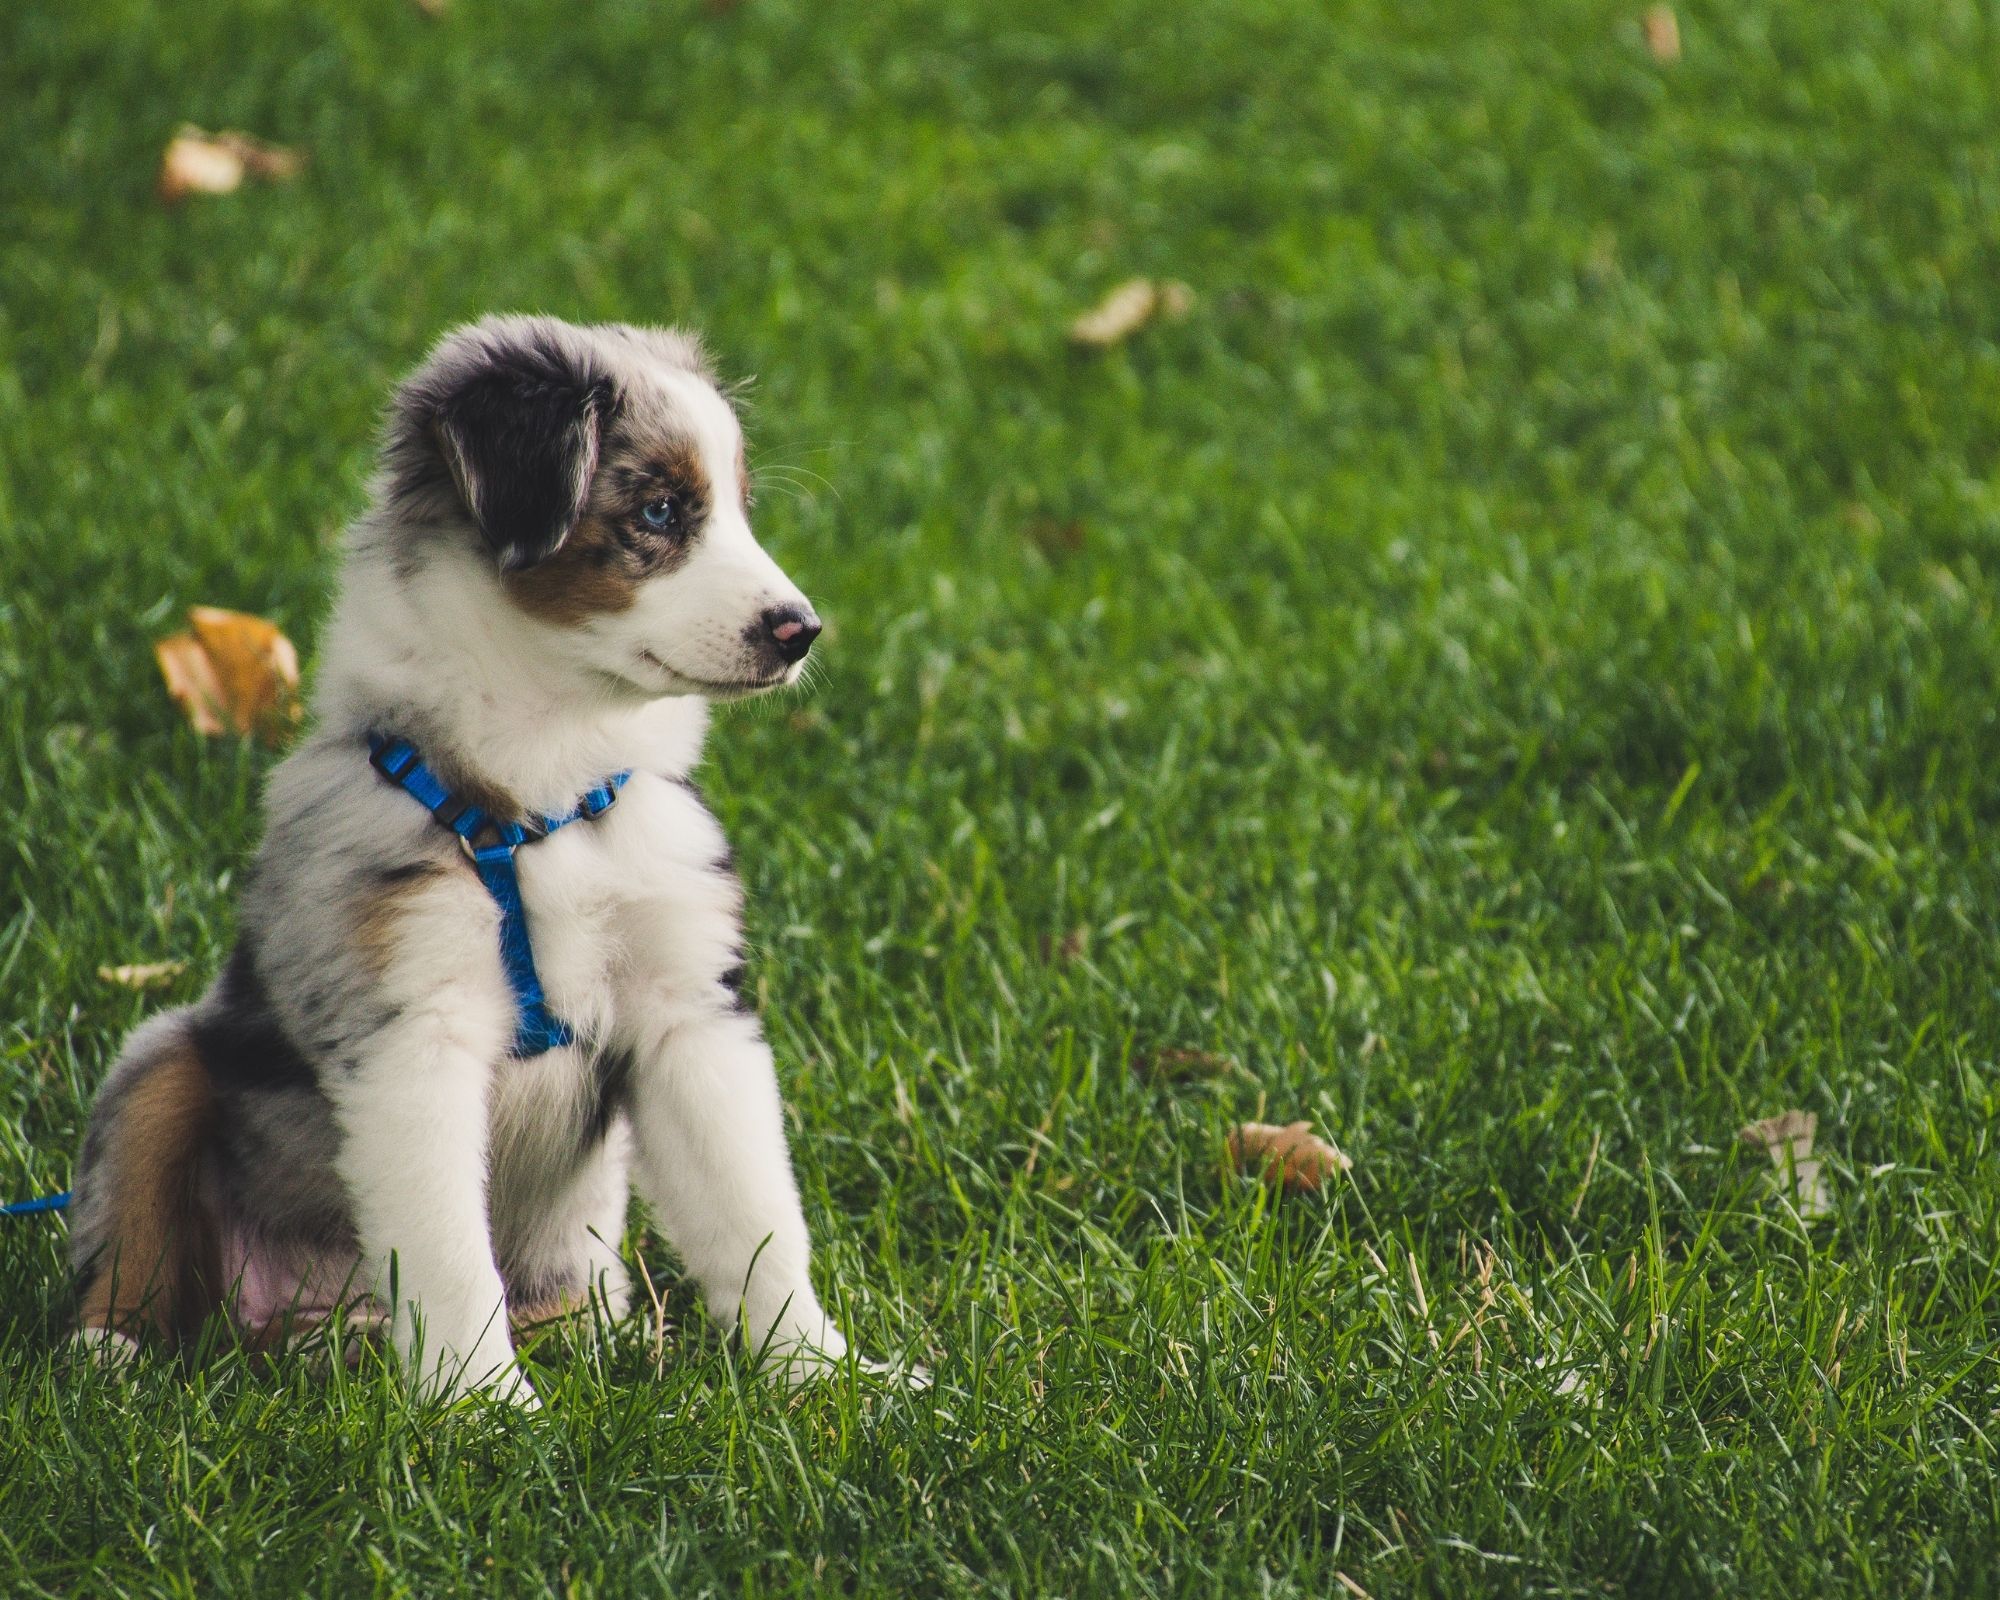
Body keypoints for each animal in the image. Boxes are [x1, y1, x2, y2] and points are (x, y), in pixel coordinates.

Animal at [70, 312, 884, 1400]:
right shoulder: (413, 1029)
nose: (800, 632)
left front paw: (826, 1376)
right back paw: (107, 1348)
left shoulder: (691, 1010)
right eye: (661, 510)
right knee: (135, 1228)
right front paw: (484, 1408)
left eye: (740, 512)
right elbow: (450, 1250)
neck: (543, 793)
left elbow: (754, 1216)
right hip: (165, 1061)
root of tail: (307, 1320)